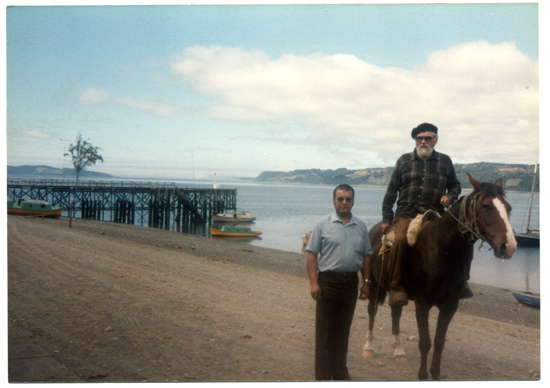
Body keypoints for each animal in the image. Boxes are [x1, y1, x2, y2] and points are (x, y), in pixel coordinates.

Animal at [364, 173, 520, 378]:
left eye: (508, 208)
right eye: (486, 206)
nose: (509, 246)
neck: (442, 250)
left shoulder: (450, 305)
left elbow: (439, 342)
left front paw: (435, 373)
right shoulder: (422, 303)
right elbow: (425, 342)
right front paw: (423, 375)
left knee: (395, 313)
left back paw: (398, 352)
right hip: (374, 286)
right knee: (372, 312)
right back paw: (368, 348)